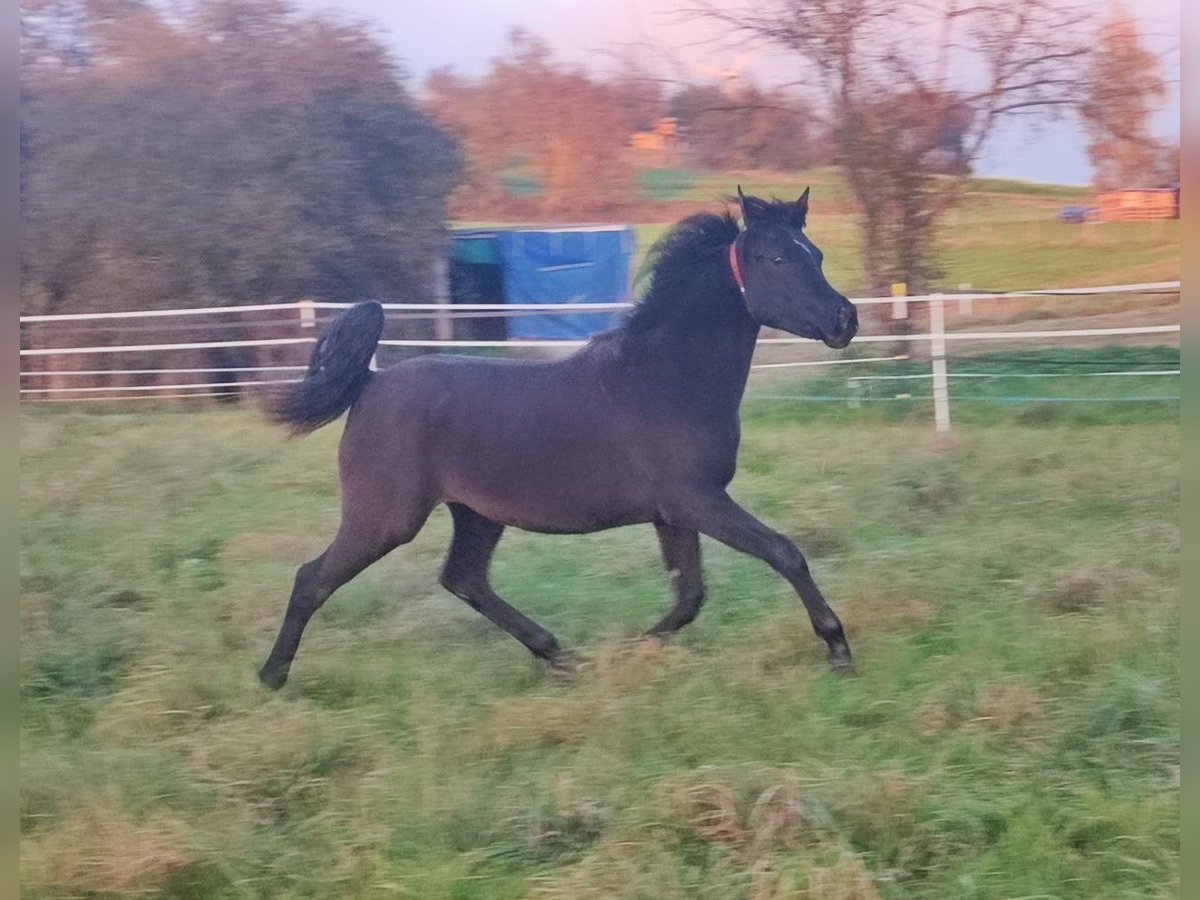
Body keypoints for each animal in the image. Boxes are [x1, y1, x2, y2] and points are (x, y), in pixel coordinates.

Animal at [258, 187, 859, 686]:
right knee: (313, 578)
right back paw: (272, 676)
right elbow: (784, 554)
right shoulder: (697, 500)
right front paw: (837, 648)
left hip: (476, 514)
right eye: (775, 259)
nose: (845, 319)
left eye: (816, 254)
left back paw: (560, 656)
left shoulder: (675, 513)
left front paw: (632, 650)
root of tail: (371, 383)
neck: (666, 378)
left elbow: (691, 595)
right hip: (386, 518)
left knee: (465, 579)